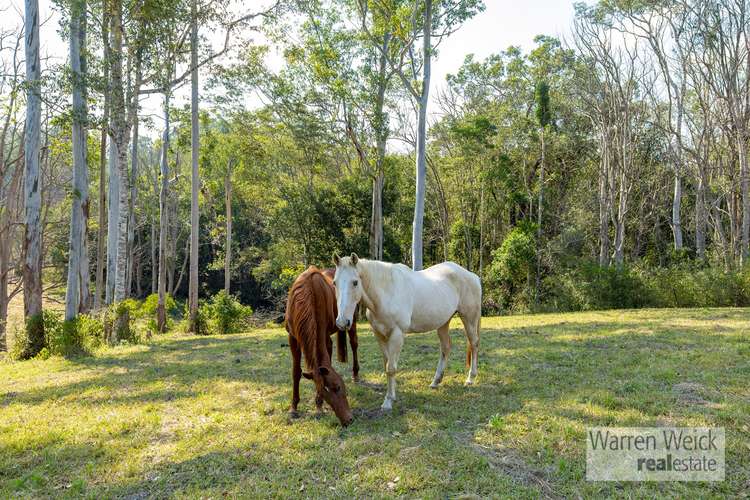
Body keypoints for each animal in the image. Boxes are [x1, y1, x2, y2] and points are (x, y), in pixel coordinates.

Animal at [286, 266, 360, 426]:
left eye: (338, 387)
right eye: (324, 393)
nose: (348, 420)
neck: (309, 293)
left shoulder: (324, 336)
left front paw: (318, 407)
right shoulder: (292, 338)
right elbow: (296, 372)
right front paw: (294, 408)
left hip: (351, 320)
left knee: (354, 344)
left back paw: (356, 375)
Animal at [334, 254, 482, 410]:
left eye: (355, 282)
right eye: (334, 283)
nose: (342, 322)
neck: (387, 292)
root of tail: (472, 276)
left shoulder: (397, 334)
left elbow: (391, 368)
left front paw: (388, 402)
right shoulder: (379, 335)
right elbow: (387, 364)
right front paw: (392, 396)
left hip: (469, 318)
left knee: (474, 344)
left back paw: (470, 378)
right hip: (443, 323)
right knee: (446, 347)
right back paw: (436, 381)